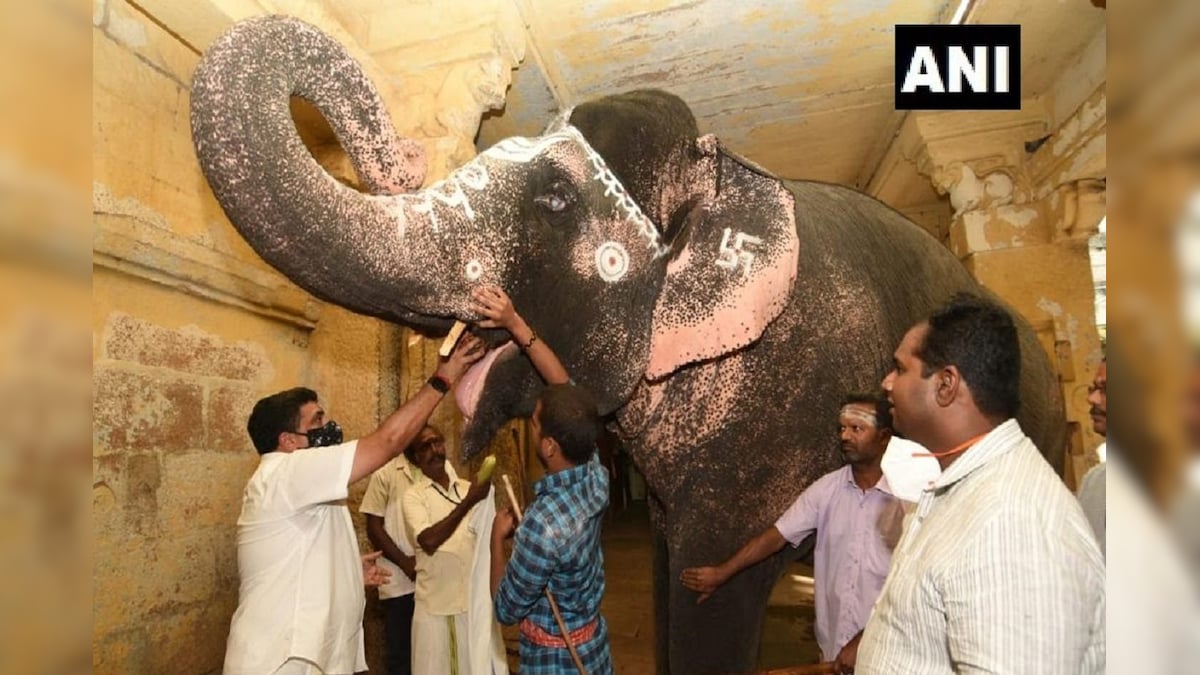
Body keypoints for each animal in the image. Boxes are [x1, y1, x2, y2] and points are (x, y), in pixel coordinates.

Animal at [192, 15, 1065, 672]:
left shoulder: (775, 408)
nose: (404, 155)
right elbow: (671, 566)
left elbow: (712, 582)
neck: (726, 167)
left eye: (553, 199)